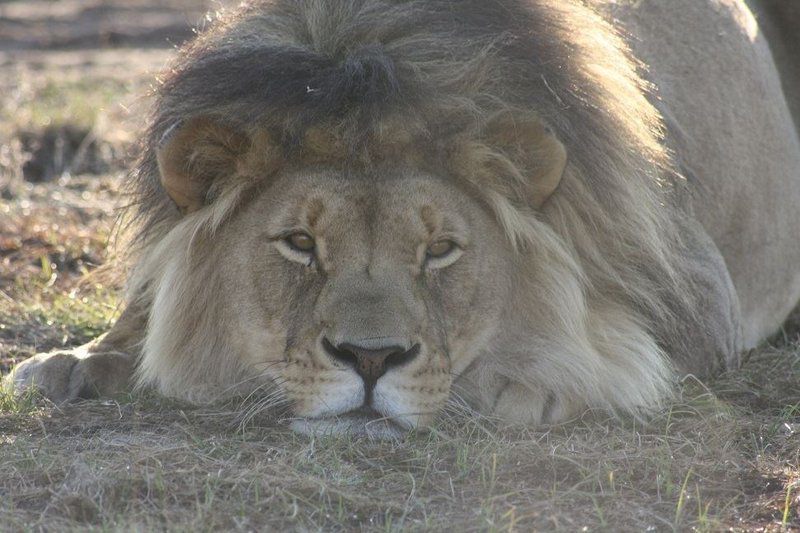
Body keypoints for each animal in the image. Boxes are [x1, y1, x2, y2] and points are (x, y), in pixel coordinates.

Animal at [7, 0, 800, 436]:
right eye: (300, 243)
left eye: (441, 249)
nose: (370, 360)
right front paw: (75, 362)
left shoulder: (699, 292)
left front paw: (532, 382)